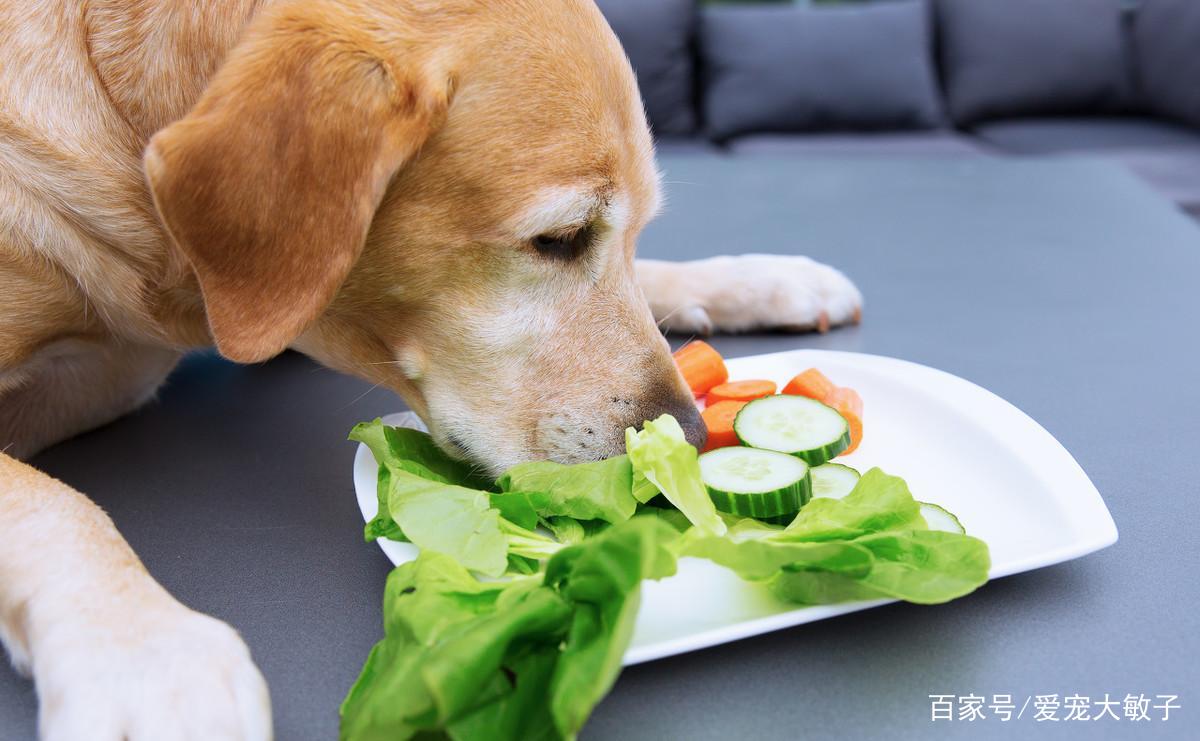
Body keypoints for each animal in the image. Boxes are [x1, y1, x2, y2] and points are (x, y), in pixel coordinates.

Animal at [0, 0, 864, 733]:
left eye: (629, 230)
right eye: (559, 238)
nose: (688, 434)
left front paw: (755, 278)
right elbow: (53, 503)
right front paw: (145, 655)